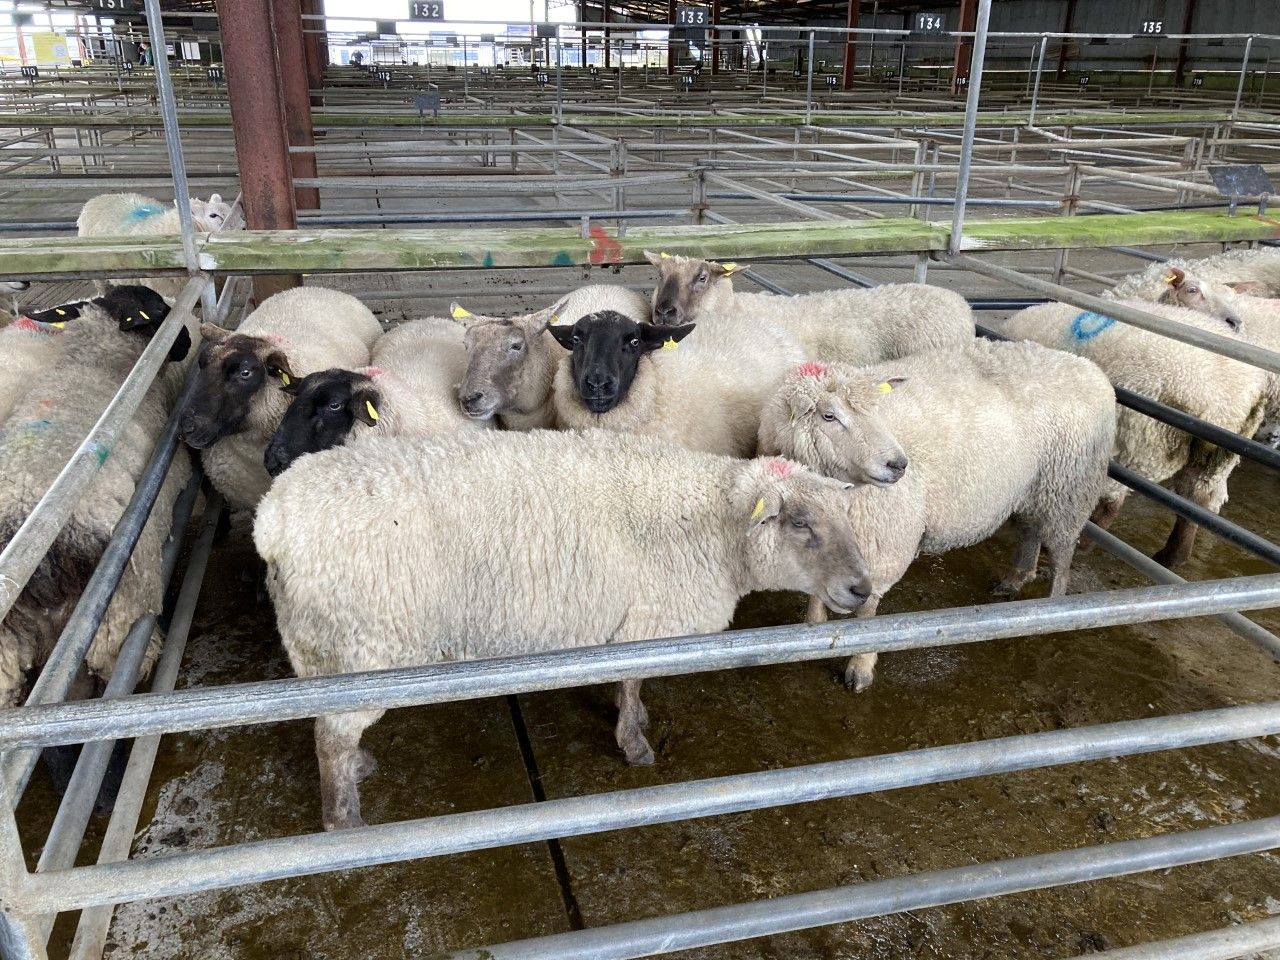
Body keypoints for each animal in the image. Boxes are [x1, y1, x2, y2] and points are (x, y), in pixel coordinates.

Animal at [253, 428, 871, 830]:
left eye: (847, 518)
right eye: (800, 523)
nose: (861, 589)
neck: (713, 527)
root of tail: (273, 519)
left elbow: (628, 686)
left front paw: (632, 720)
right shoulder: (646, 625)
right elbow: (630, 687)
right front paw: (634, 742)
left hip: (325, 653)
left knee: (328, 729)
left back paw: (356, 769)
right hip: (362, 648)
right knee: (331, 736)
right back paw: (343, 819)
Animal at [758, 341, 1116, 692]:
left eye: (877, 411)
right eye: (829, 416)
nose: (898, 465)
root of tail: (1091, 369)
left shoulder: (886, 545)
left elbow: (868, 613)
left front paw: (860, 664)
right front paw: (813, 632)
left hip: (1069, 487)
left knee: (1062, 551)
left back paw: (1054, 608)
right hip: (1034, 487)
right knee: (1031, 529)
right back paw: (1016, 579)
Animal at [994, 300, 1270, 567]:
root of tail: (1226, 399)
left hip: (1138, 443)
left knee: (1113, 501)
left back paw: (1084, 543)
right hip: (1212, 459)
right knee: (1194, 502)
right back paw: (1172, 557)